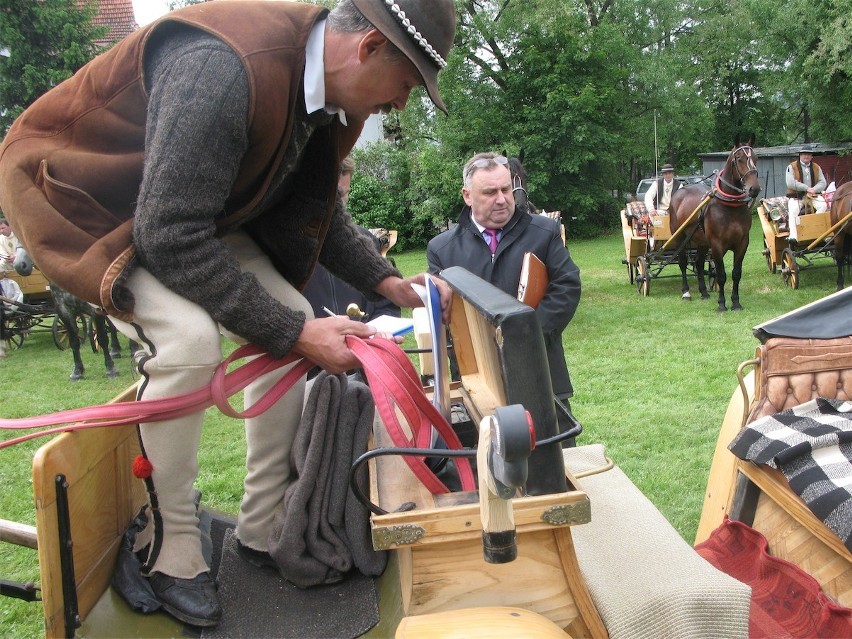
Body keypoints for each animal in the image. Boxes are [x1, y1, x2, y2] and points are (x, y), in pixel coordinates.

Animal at [664, 138, 760, 312]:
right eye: (739, 159)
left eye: (756, 158)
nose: (754, 188)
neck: (729, 206)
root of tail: (680, 191)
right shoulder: (716, 245)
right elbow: (721, 275)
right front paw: (721, 303)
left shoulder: (742, 243)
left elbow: (736, 273)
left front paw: (736, 302)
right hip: (680, 237)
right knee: (683, 263)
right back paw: (686, 292)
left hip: (702, 243)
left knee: (699, 263)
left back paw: (703, 292)